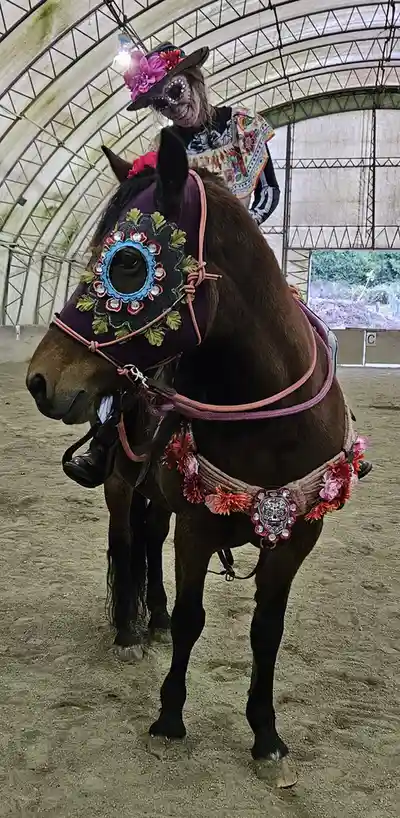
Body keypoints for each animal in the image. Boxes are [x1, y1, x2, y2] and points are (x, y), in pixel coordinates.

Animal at [26, 128, 366, 786]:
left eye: (128, 263)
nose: (39, 379)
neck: (267, 417)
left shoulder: (296, 536)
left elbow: (267, 631)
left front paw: (266, 736)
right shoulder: (200, 523)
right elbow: (192, 617)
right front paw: (169, 719)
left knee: (149, 541)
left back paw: (151, 620)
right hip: (123, 484)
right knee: (128, 542)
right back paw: (130, 630)